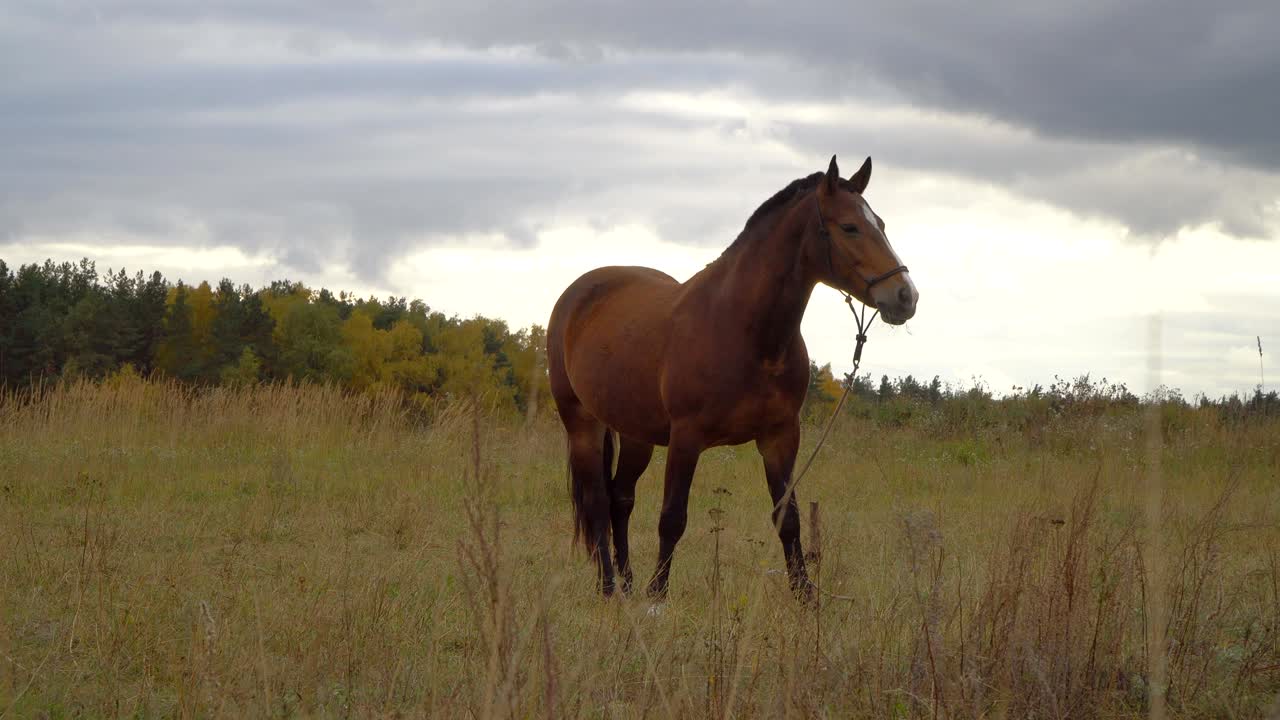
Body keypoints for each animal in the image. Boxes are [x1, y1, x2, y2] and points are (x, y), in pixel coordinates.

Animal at [546, 155, 918, 599]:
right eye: (849, 227)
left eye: (881, 223)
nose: (906, 296)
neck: (745, 331)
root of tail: (578, 293)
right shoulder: (686, 438)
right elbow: (672, 519)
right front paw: (658, 598)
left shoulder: (780, 437)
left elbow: (788, 518)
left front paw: (805, 598)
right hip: (582, 424)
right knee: (598, 502)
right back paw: (608, 588)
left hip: (636, 433)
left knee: (621, 498)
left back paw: (628, 584)